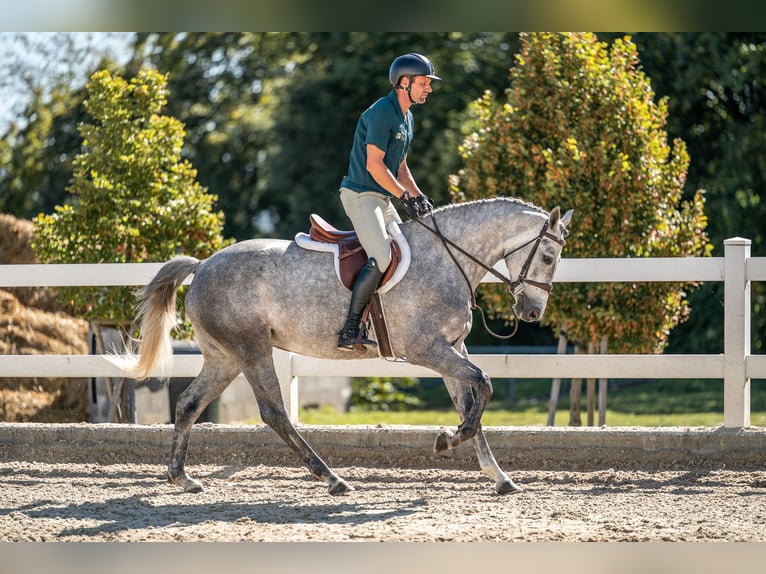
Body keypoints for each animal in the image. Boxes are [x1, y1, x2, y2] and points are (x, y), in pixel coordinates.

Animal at [124, 197, 572, 496]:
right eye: (548, 256)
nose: (532, 312)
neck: (447, 259)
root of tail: (203, 265)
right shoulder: (426, 350)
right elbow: (485, 385)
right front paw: (447, 439)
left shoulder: (452, 351)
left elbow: (472, 403)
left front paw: (500, 477)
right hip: (251, 349)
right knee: (274, 413)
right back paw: (332, 478)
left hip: (225, 357)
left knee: (189, 404)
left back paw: (182, 477)